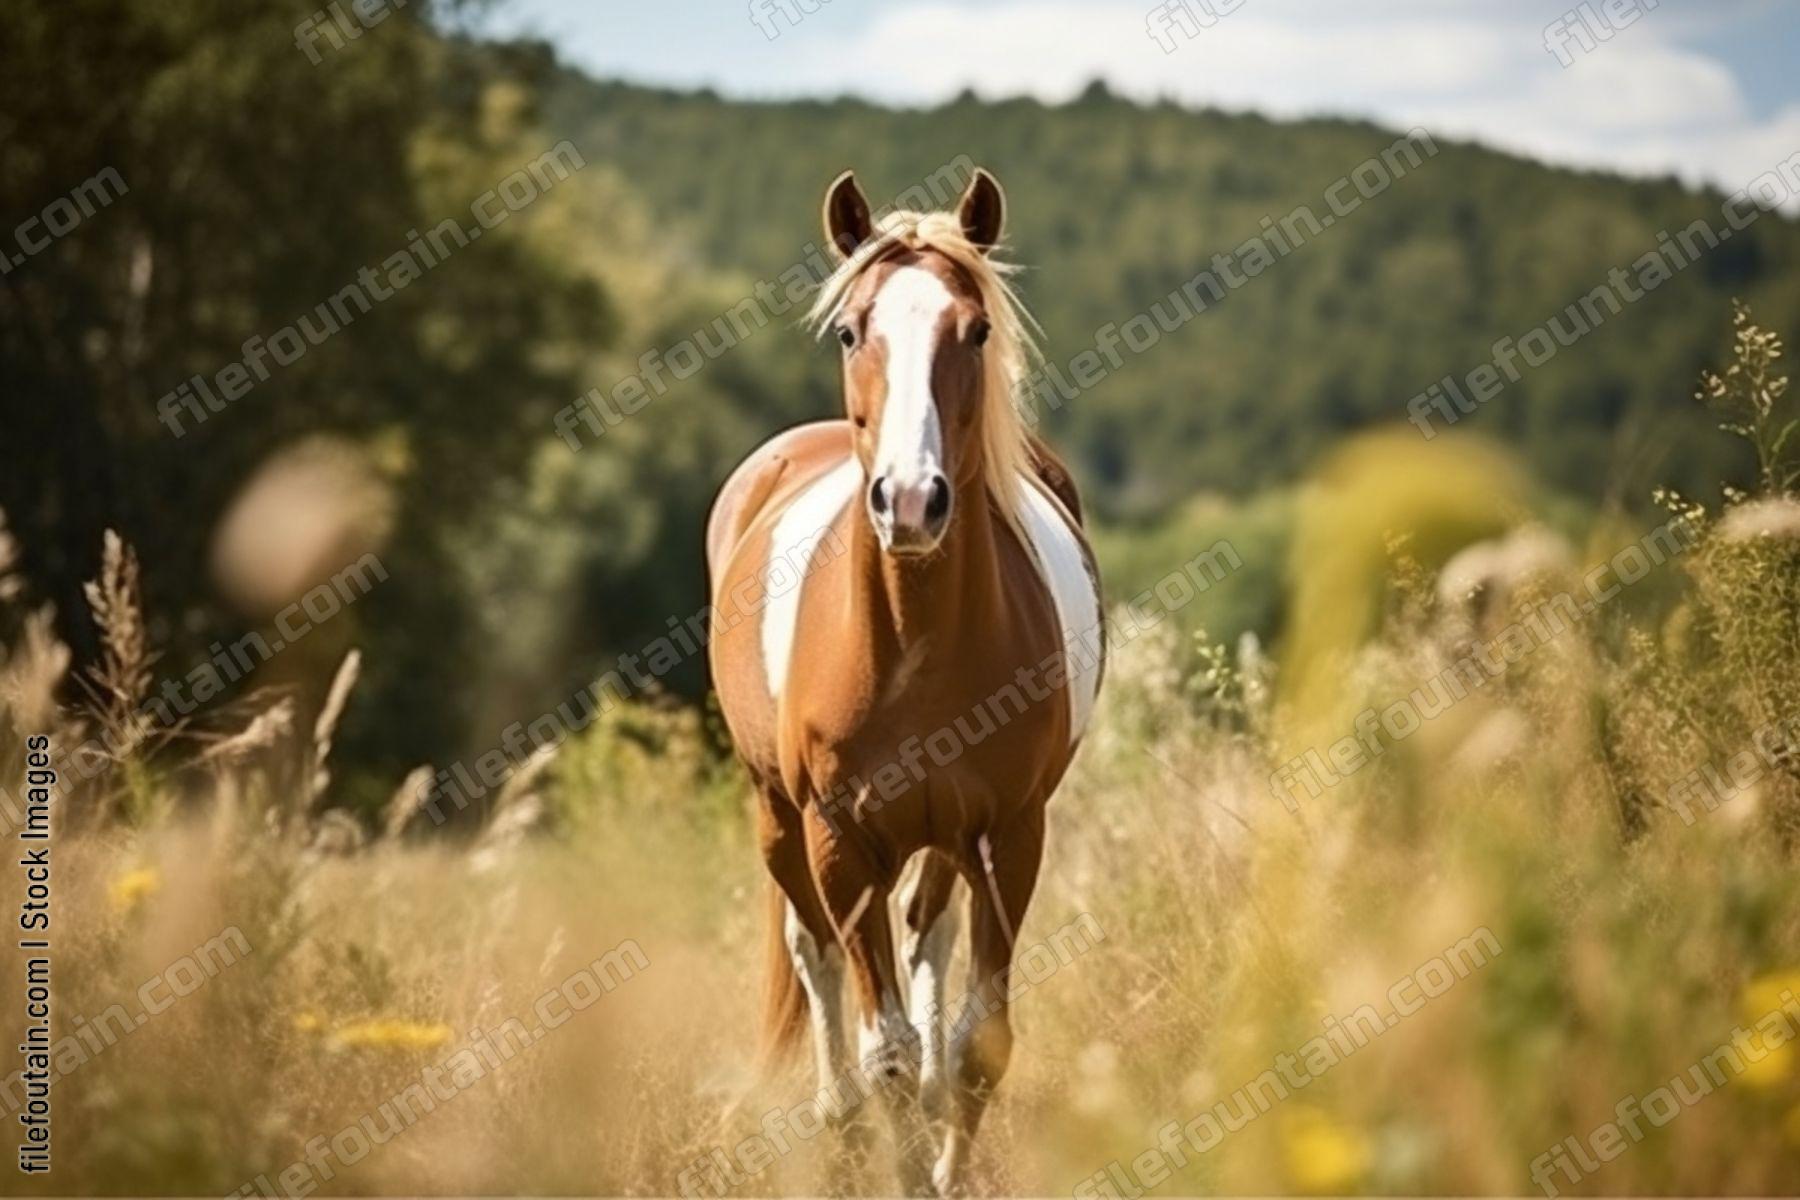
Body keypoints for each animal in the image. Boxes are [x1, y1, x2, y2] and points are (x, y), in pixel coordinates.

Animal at [704, 167, 1104, 1195]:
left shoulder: (1011, 832)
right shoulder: (840, 842)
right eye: (853, 331)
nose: (913, 501)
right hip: (779, 819)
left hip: (942, 839)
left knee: (928, 937)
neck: (913, 642)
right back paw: (839, 1125)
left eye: (978, 329)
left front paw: (946, 1170)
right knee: (815, 959)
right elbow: (881, 1042)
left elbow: (979, 1044)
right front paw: (893, 1152)